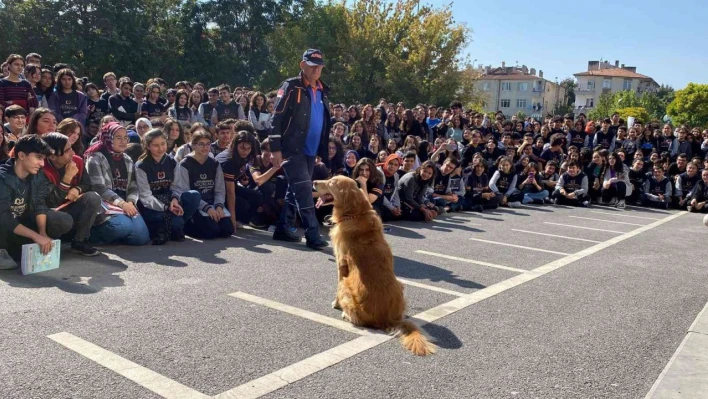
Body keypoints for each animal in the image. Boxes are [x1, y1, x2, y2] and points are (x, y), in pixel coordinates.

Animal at [316, 175, 436, 356]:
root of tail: (388, 319)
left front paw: (336, 304)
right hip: (400, 285)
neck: (355, 215)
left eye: (331, 182)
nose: (314, 182)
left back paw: (345, 314)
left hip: (346, 285)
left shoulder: (341, 262)